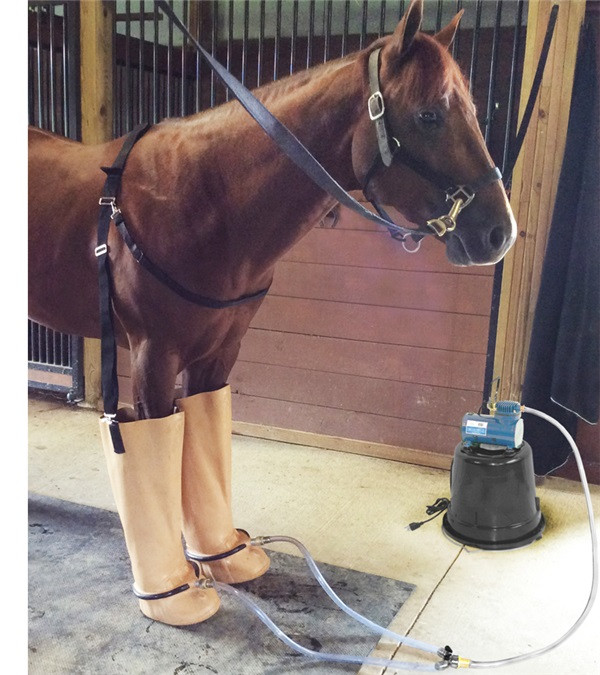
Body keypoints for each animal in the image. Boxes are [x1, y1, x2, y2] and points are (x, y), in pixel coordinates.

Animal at [28, 0, 517, 626]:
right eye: (431, 115)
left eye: (474, 110)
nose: (498, 233)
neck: (206, 198)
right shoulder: (154, 356)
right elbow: (158, 449)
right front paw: (173, 594)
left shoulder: (219, 353)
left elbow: (205, 435)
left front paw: (225, 557)